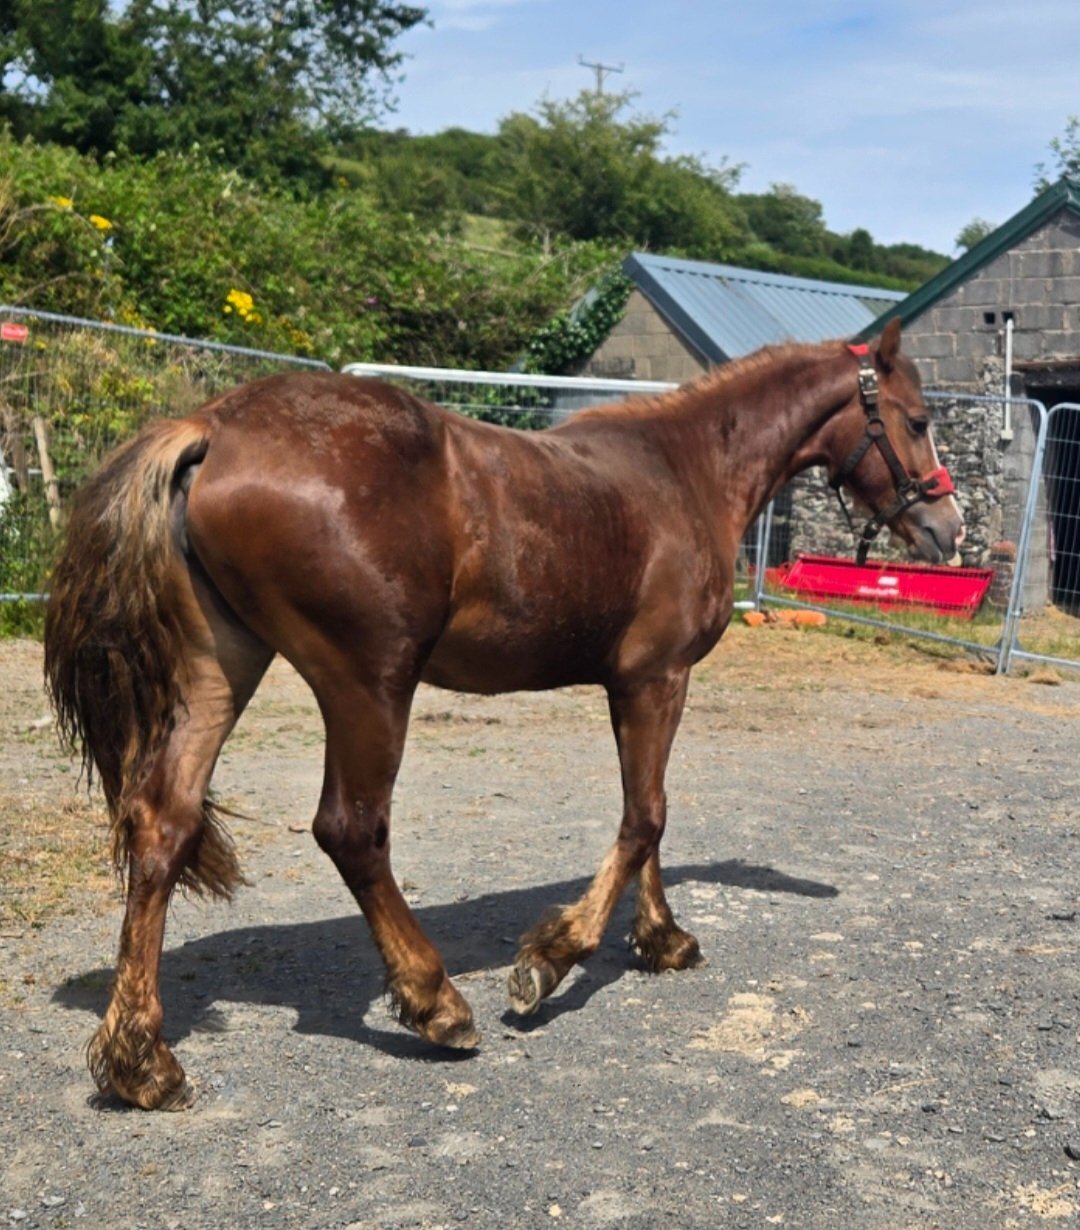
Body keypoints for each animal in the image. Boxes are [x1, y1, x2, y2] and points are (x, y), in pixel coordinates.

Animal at [44, 318, 963, 1110]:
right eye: (918, 420)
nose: (948, 528)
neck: (685, 470)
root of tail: (215, 429)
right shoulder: (655, 680)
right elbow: (646, 818)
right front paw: (550, 961)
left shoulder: (638, 688)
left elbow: (648, 820)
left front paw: (662, 939)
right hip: (368, 684)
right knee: (351, 830)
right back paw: (435, 1003)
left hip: (221, 670)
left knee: (162, 822)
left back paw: (140, 1061)